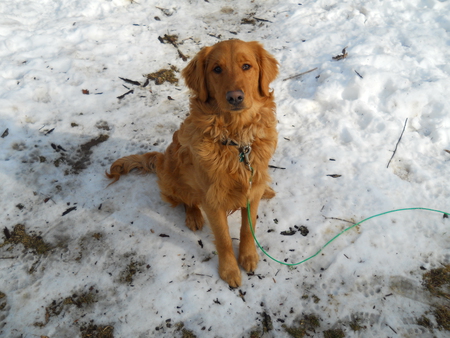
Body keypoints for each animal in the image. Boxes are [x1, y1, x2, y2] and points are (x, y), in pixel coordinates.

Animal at [106, 40, 278, 288]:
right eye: (217, 69)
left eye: (246, 66)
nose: (235, 97)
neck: (236, 141)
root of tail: (160, 159)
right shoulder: (212, 199)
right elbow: (224, 239)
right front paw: (229, 270)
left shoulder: (251, 187)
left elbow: (248, 228)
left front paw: (248, 256)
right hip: (174, 178)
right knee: (186, 200)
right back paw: (194, 216)